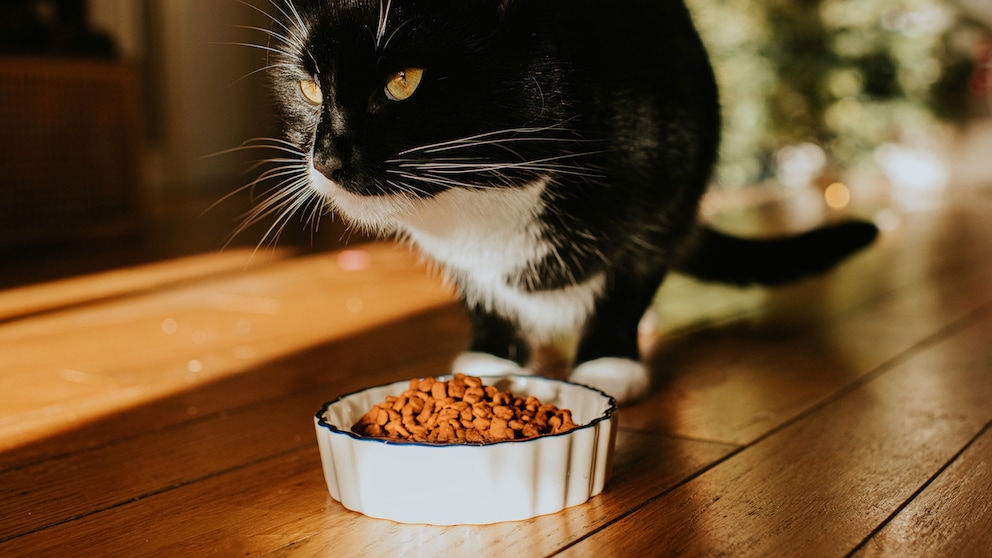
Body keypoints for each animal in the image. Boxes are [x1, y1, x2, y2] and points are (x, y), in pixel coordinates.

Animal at [246, 0, 876, 402]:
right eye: (308, 88)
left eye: (403, 80)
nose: (327, 158)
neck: (485, 194)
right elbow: (480, 292)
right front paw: (491, 357)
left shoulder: (669, 182)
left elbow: (631, 276)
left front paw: (608, 361)